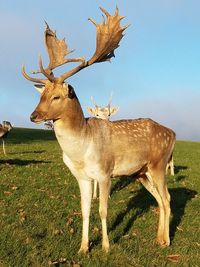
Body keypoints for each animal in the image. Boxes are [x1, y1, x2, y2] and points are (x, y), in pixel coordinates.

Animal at [21, 6, 176, 253]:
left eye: (56, 96)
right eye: (41, 95)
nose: (33, 116)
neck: (81, 149)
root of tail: (173, 133)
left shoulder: (105, 173)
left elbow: (103, 210)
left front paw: (105, 246)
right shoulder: (82, 177)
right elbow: (85, 210)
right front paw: (83, 247)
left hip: (159, 164)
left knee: (168, 198)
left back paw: (167, 241)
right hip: (141, 172)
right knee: (159, 200)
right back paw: (158, 238)